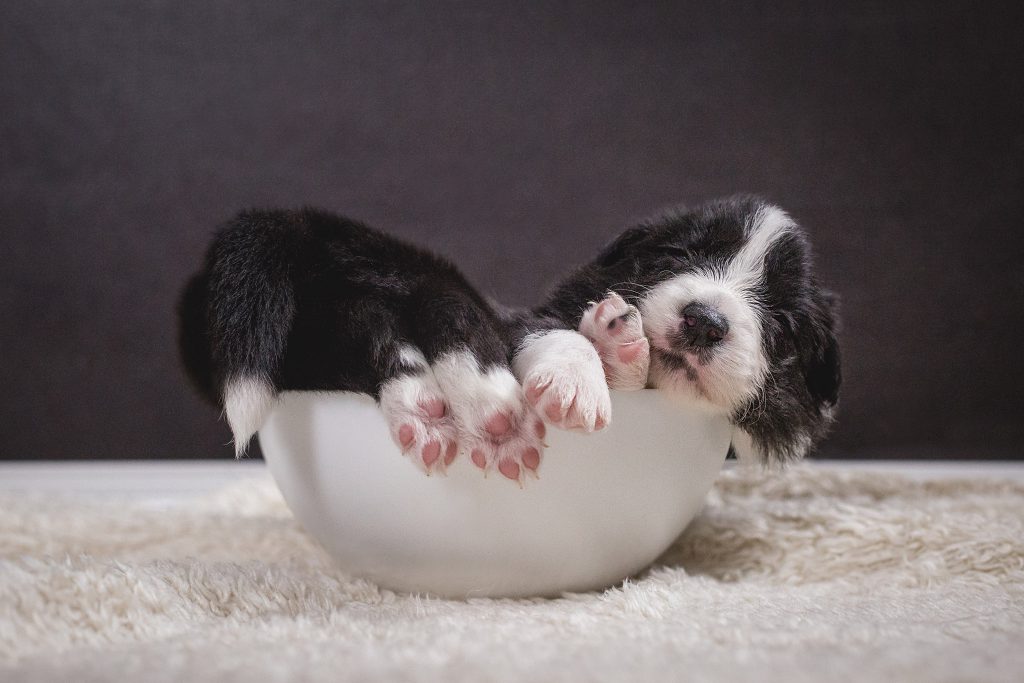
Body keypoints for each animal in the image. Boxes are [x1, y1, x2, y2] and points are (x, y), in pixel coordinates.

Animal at [180, 192, 839, 481]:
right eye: (680, 255)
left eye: (780, 323)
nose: (704, 320)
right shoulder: (530, 318)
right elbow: (559, 334)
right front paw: (580, 379)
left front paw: (618, 349)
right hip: (425, 279)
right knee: (440, 318)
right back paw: (485, 409)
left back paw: (427, 412)